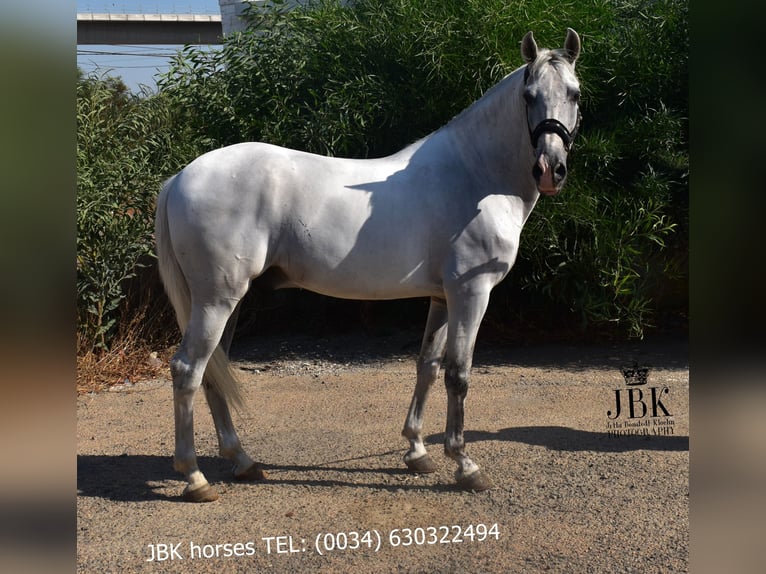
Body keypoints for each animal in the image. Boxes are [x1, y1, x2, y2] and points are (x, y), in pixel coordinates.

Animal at [155, 29, 582, 501]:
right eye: (528, 95)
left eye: (575, 94)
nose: (550, 170)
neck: (475, 176)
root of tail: (180, 178)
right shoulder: (471, 292)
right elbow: (459, 374)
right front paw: (465, 465)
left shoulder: (441, 297)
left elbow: (428, 366)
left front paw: (417, 452)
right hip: (216, 299)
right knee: (188, 369)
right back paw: (194, 477)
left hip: (224, 301)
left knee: (214, 371)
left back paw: (243, 462)